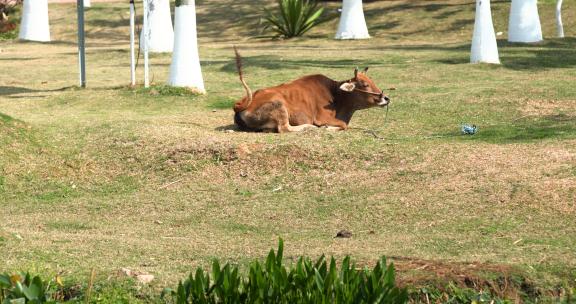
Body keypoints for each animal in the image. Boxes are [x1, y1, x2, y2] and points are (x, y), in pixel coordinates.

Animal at [232, 48, 390, 132]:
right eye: (364, 84)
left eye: (372, 81)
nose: (386, 98)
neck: (335, 95)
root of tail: (240, 105)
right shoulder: (322, 117)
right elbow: (344, 125)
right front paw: (326, 128)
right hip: (279, 105)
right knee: (285, 128)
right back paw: (309, 127)